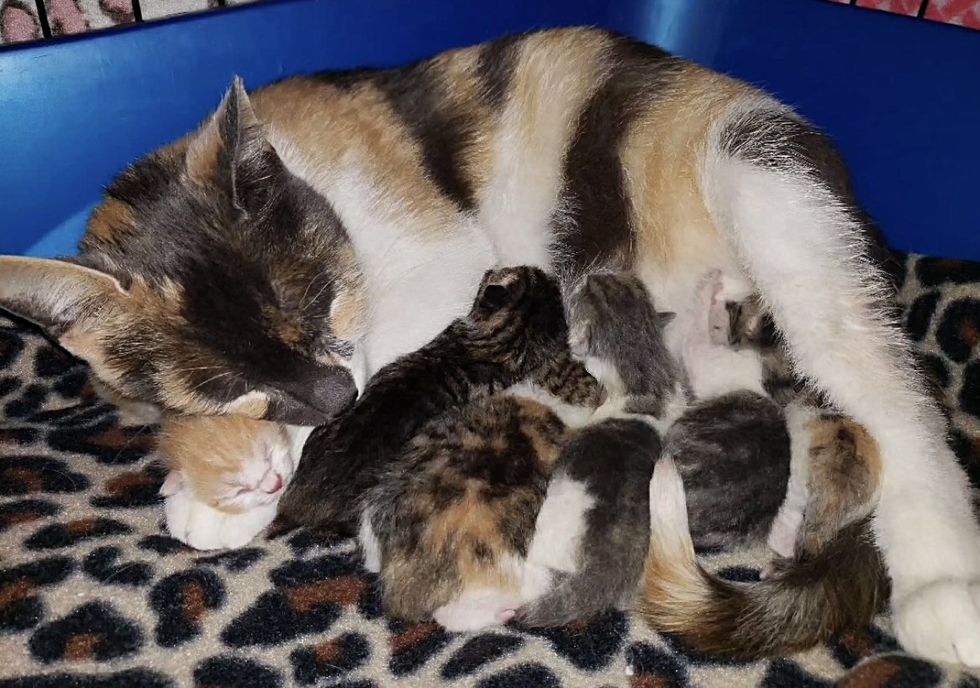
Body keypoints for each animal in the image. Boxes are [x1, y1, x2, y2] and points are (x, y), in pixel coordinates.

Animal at [1, 28, 980, 668]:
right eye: (230, 383)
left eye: (320, 304)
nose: (326, 401)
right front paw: (213, 470)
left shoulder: (443, 267)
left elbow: (389, 366)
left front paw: (244, 489)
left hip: (768, 179)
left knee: (889, 395)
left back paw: (942, 587)